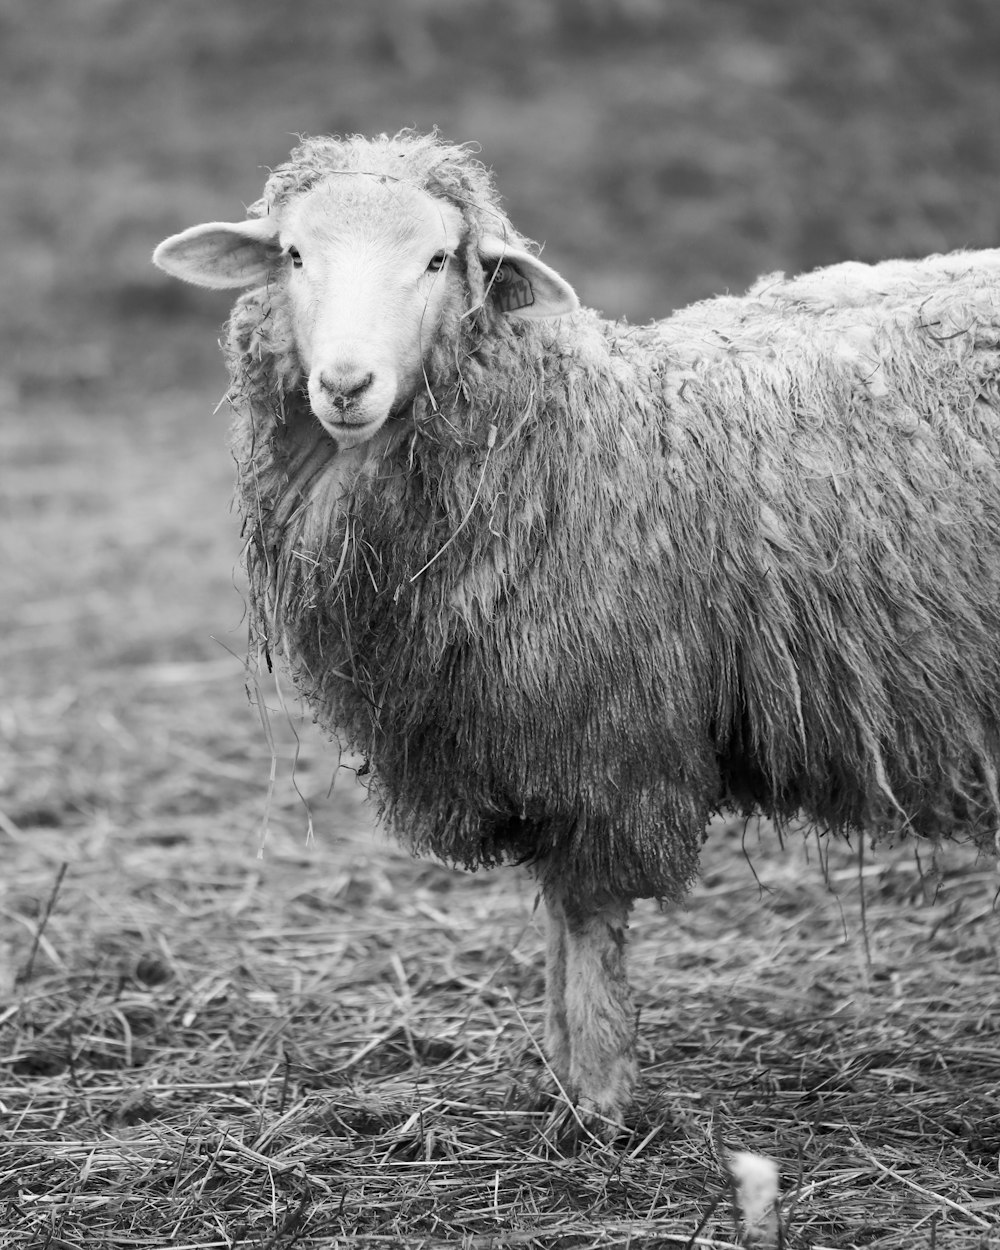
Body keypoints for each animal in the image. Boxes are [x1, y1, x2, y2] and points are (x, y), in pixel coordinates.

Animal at [152, 131, 1000, 1140]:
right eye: (292, 254)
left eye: (438, 260)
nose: (346, 384)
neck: (567, 438)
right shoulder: (535, 740)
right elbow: (558, 910)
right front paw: (558, 1074)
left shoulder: (606, 738)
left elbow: (589, 909)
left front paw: (596, 1103)